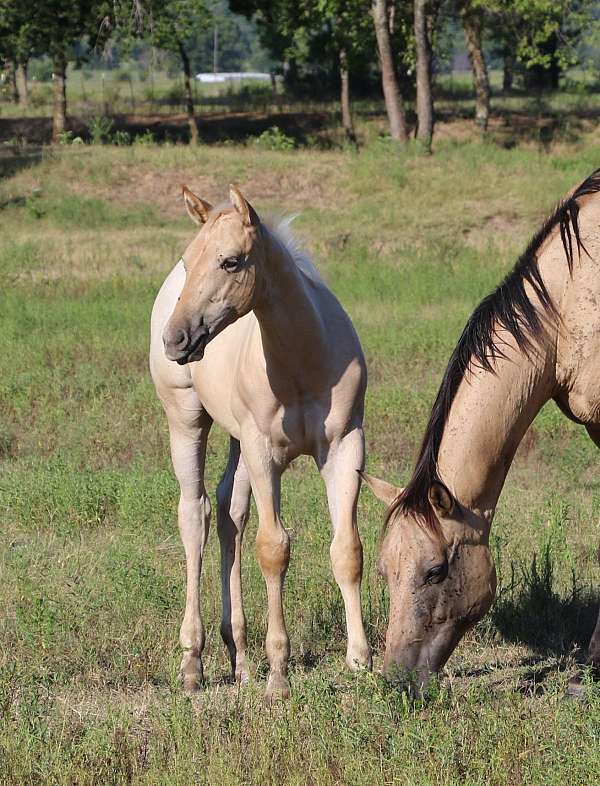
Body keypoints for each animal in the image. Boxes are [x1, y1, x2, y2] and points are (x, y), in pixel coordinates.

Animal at [149, 185, 371, 701]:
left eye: (231, 261)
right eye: (189, 261)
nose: (176, 339)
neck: (302, 362)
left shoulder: (345, 445)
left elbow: (347, 548)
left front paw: (361, 661)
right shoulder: (264, 452)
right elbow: (274, 549)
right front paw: (279, 676)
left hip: (237, 440)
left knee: (230, 512)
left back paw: (240, 658)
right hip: (188, 421)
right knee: (195, 515)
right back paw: (193, 663)